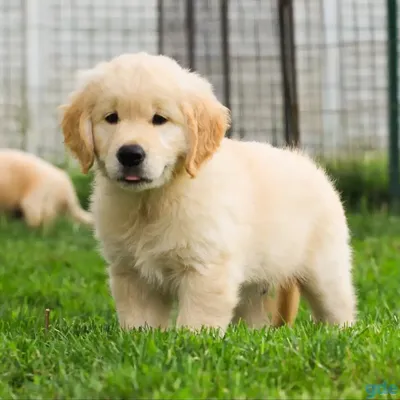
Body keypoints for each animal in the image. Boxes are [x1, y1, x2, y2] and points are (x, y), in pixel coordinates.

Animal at [60, 51, 356, 332]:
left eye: (160, 119)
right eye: (111, 118)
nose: (130, 154)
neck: (152, 201)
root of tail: (310, 165)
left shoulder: (207, 267)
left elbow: (197, 321)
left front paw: (192, 341)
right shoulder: (132, 273)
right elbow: (139, 322)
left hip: (325, 268)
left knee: (338, 306)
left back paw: (341, 331)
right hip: (255, 283)